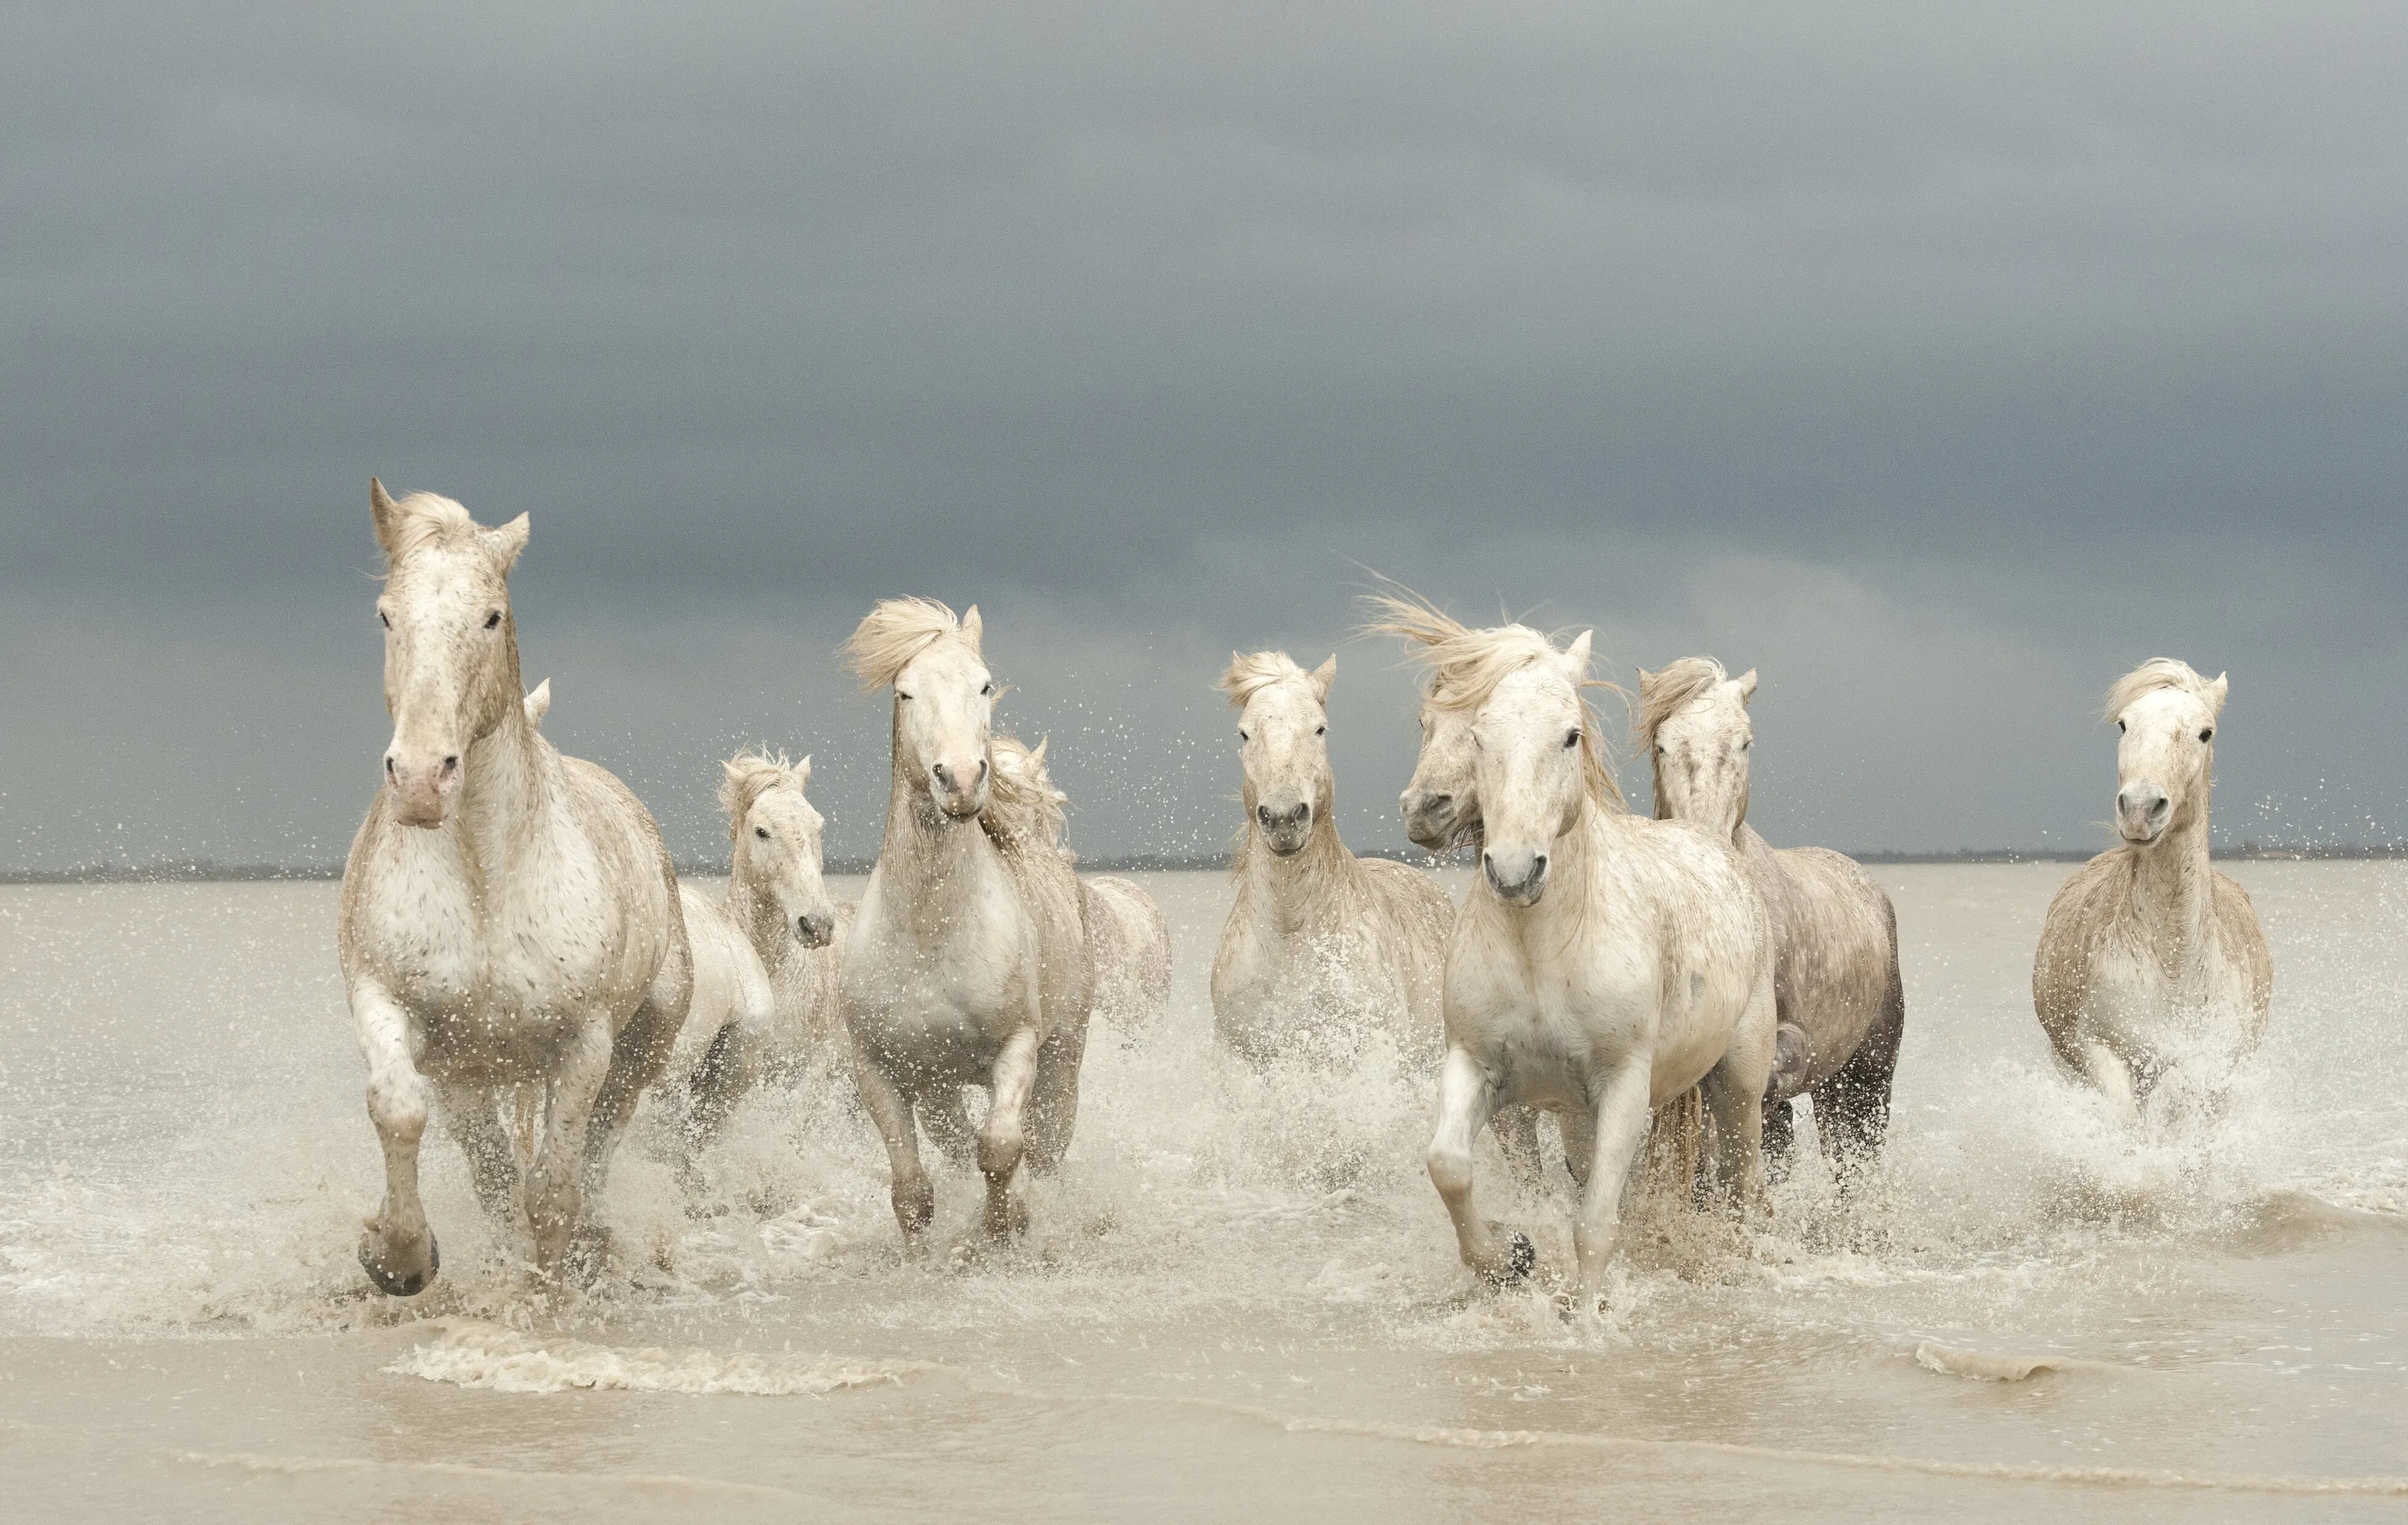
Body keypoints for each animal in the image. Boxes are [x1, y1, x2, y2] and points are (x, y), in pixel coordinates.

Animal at [340, 480, 691, 1294]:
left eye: (491, 616)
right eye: (386, 615)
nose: (421, 779)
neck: (483, 877)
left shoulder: (583, 1044)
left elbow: (555, 1190)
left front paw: (550, 1288)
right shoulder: (390, 1005)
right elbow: (399, 1110)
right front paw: (398, 1257)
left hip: (639, 1047)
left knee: (597, 1145)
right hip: (469, 1075)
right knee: (494, 1175)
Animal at [839, 599, 1093, 1247]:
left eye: (983, 684)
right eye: (904, 692)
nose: (959, 780)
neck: (932, 932)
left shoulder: (1019, 1046)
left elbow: (1001, 1149)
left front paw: (1003, 1228)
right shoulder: (879, 1069)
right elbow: (911, 1191)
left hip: (1062, 1060)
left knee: (1047, 1148)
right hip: (938, 1089)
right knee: (954, 1146)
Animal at [1402, 618, 1775, 1303]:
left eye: (1569, 735)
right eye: (1480, 736)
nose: (1515, 871)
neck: (1539, 945)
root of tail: (1717, 849)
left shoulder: (1624, 1086)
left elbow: (1596, 1224)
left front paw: (1589, 1314)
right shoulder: (1478, 1068)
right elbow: (1449, 1168)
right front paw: (1511, 1257)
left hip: (1738, 1082)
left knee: (1743, 1178)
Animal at [2033, 659, 2272, 1111]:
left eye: (2206, 732)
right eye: (2124, 724)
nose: (2140, 809)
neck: (2173, 965)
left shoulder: (2206, 1066)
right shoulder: (2099, 1051)